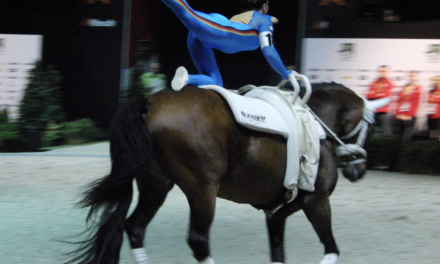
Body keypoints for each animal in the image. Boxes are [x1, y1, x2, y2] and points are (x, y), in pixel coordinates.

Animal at [66, 82, 384, 264]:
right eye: (373, 126)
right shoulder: (317, 202)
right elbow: (331, 249)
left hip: (156, 184)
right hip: (202, 189)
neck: (317, 126)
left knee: (135, 227)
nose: (359, 170)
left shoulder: (277, 214)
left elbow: (278, 255)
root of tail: (151, 102)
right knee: (198, 240)